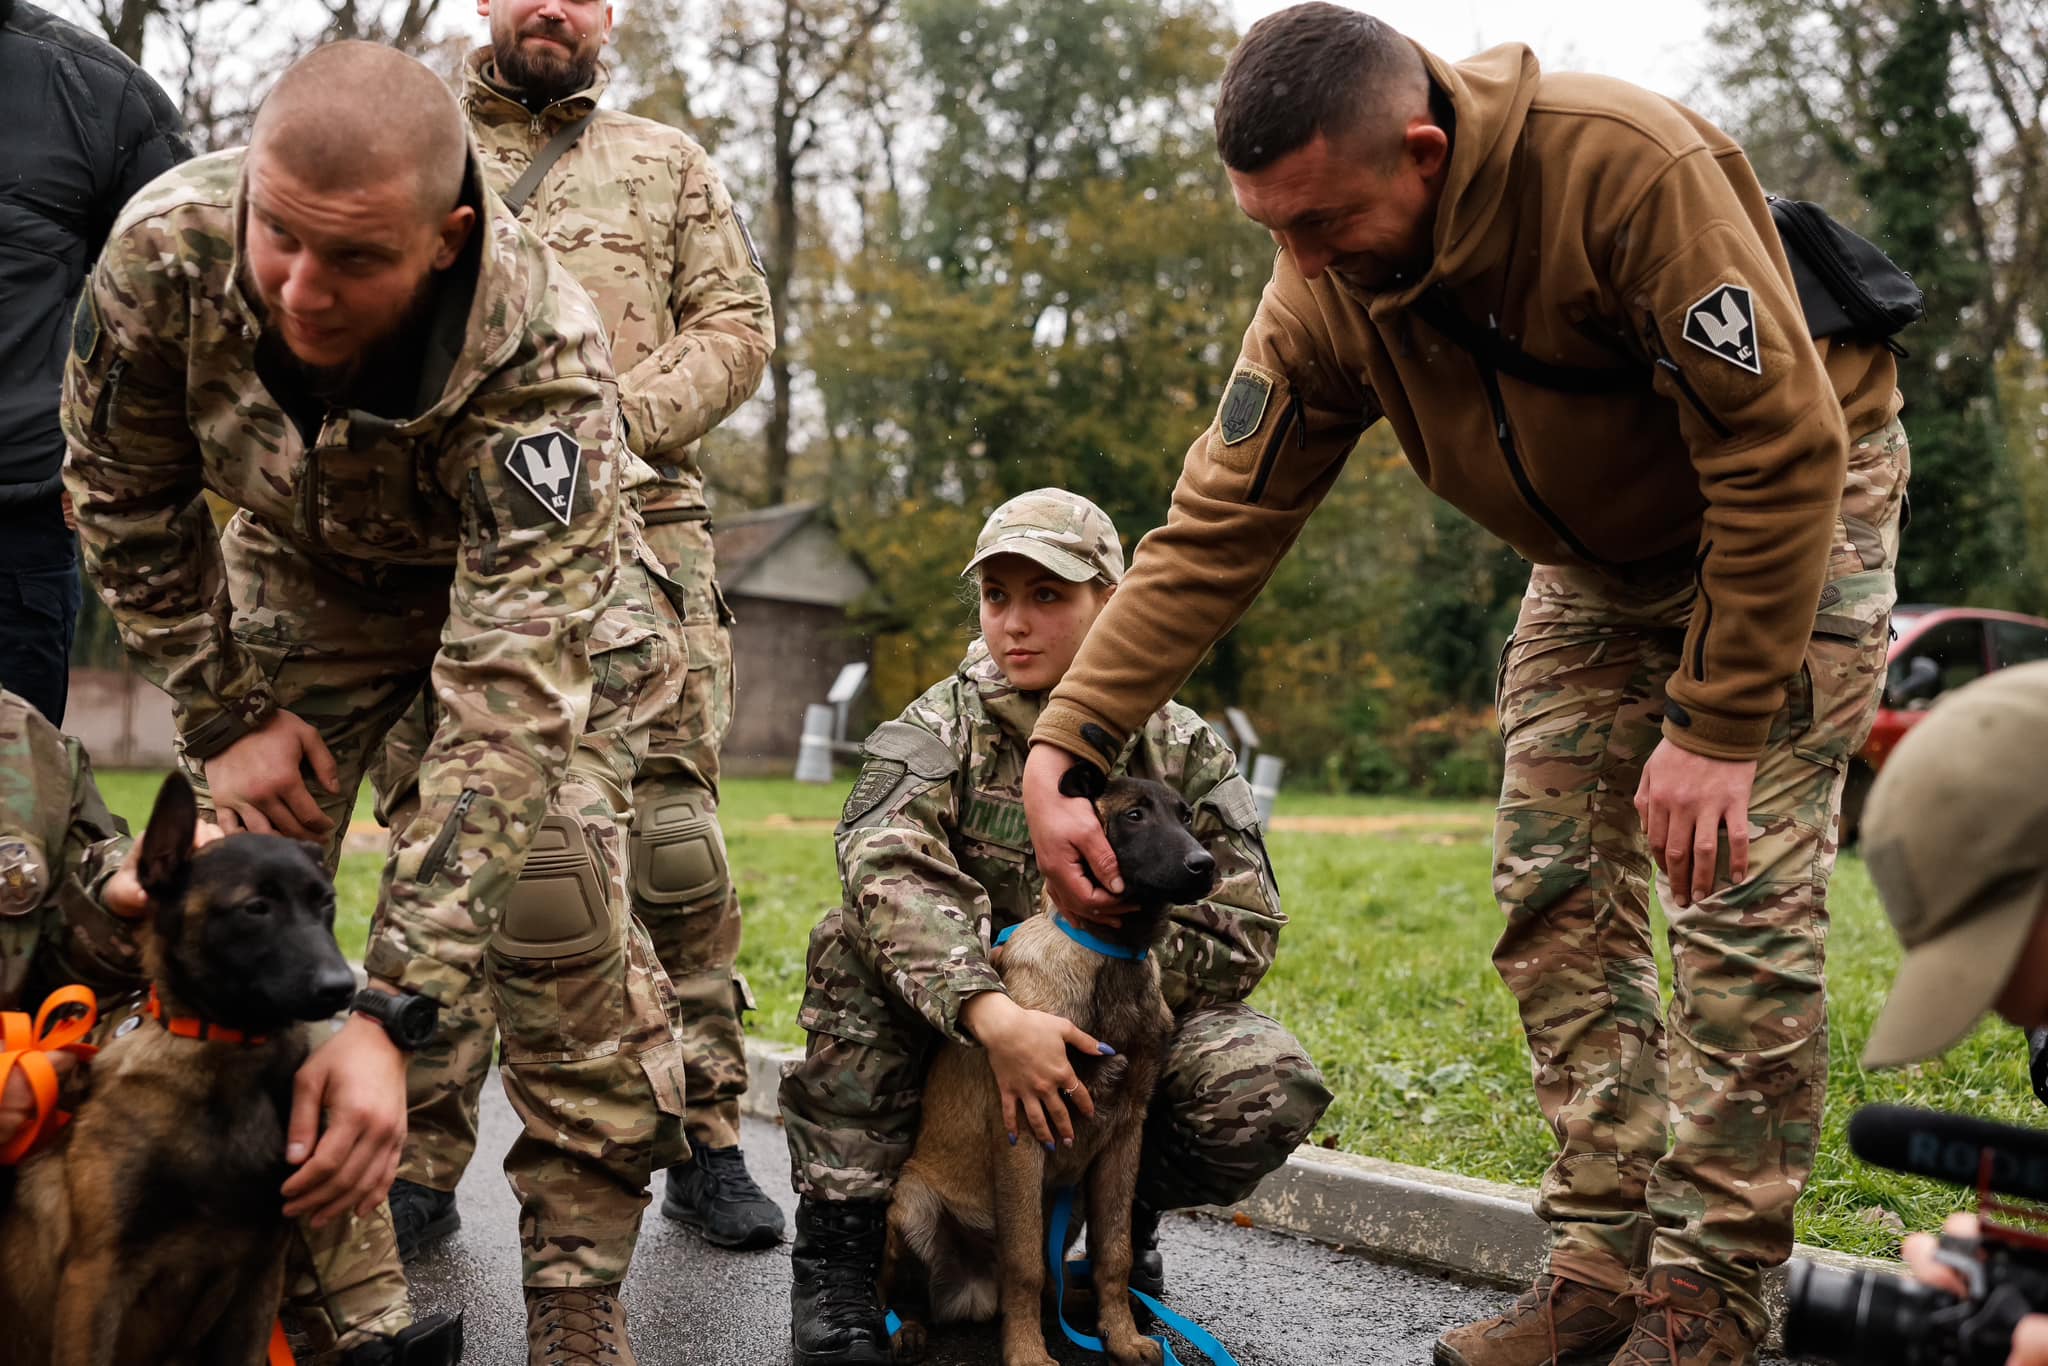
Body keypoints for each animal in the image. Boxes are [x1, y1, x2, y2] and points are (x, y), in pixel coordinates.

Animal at [0, 774, 358, 1359]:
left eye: (325, 903)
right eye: (256, 907)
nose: (342, 988)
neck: (227, 1055)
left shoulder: (259, 1278)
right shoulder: (96, 1279)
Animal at [880, 770, 1212, 1366]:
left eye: (1186, 816)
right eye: (1134, 816)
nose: (1206, 864)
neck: (1109, 958)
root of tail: (971, 1295)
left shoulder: (1124, 1135)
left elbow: (1113, 1252)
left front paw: (1120, 1335)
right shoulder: (1023, 1133)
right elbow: (1025, 1264)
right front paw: (1028, 1353)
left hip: (1073, 1197)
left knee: (1059, 1274)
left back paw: (1083, 1307)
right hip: (913, 1205)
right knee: (897, 1290)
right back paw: (906, 1329)